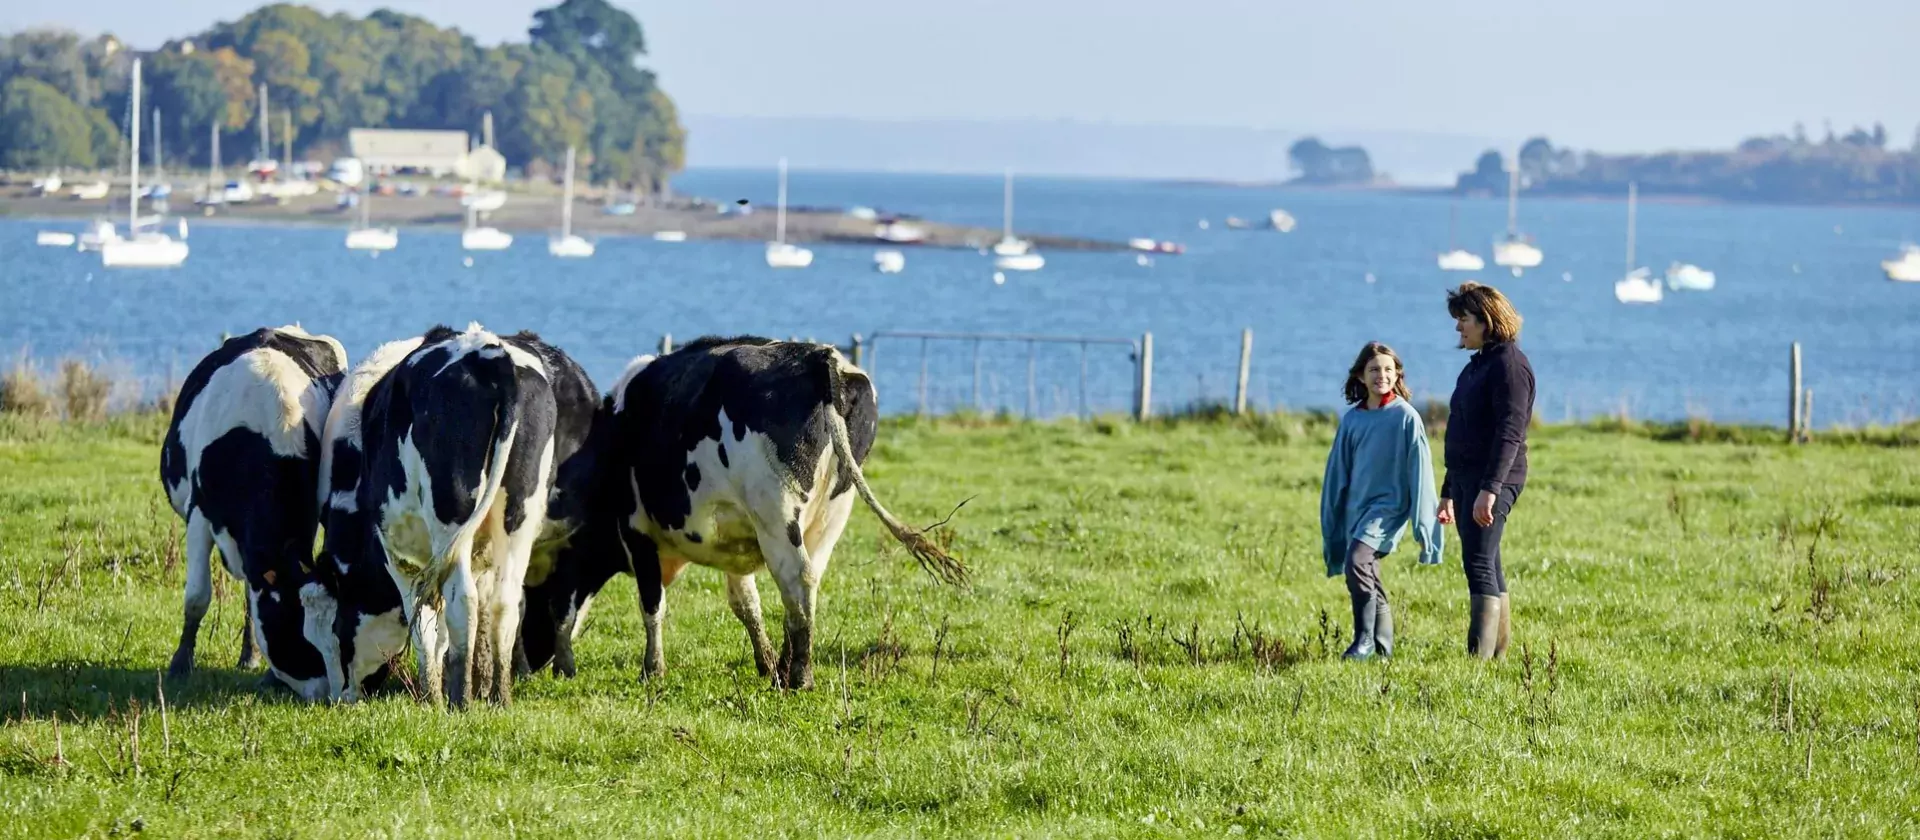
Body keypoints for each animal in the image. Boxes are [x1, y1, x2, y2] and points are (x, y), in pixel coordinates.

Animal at [318, 324, 599, 705]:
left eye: (338, 628)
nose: (340, 695)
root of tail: (492, 356)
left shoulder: (400, 555)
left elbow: (425, 623)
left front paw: (431, 696)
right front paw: (478, 682)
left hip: (450, 516)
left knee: (462, 601)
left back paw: (460, 700)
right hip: (519, 515)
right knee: (505, 602)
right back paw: (499, 697)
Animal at [583, 335, 967, 690]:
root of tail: (817, 357)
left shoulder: (636, 530)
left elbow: (652, 604)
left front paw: (652, 670)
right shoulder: (732, 535)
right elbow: (746, 603)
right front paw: (765, 662)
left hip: (775, 513)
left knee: (797, 579)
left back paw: (799, 677)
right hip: (831, 514)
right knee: (805, 588)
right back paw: (784, 669)